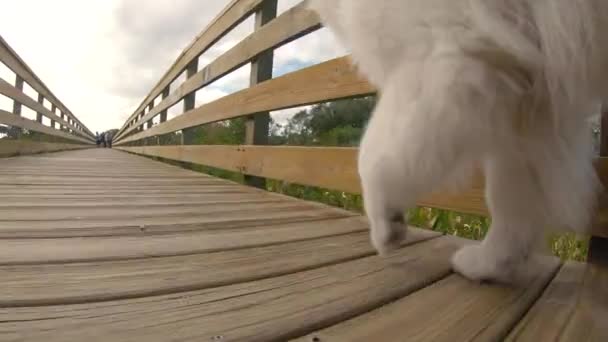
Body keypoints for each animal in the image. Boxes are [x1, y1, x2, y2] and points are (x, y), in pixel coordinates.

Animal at [312, 0, 608, 282]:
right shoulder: (531, 106)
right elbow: (513, 199)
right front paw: (491, 262)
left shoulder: (443, 56)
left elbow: (375, 159)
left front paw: (385, 224)